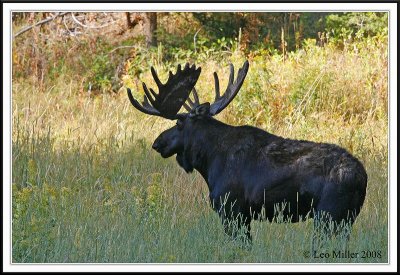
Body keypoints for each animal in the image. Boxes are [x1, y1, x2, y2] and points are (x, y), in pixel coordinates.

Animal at [126, 61, 368, 245]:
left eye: (178, 123)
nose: (157, 143)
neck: (208, 162)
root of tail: (361, 177)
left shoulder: (232, 210)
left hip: (328, 215)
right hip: (346, 219)